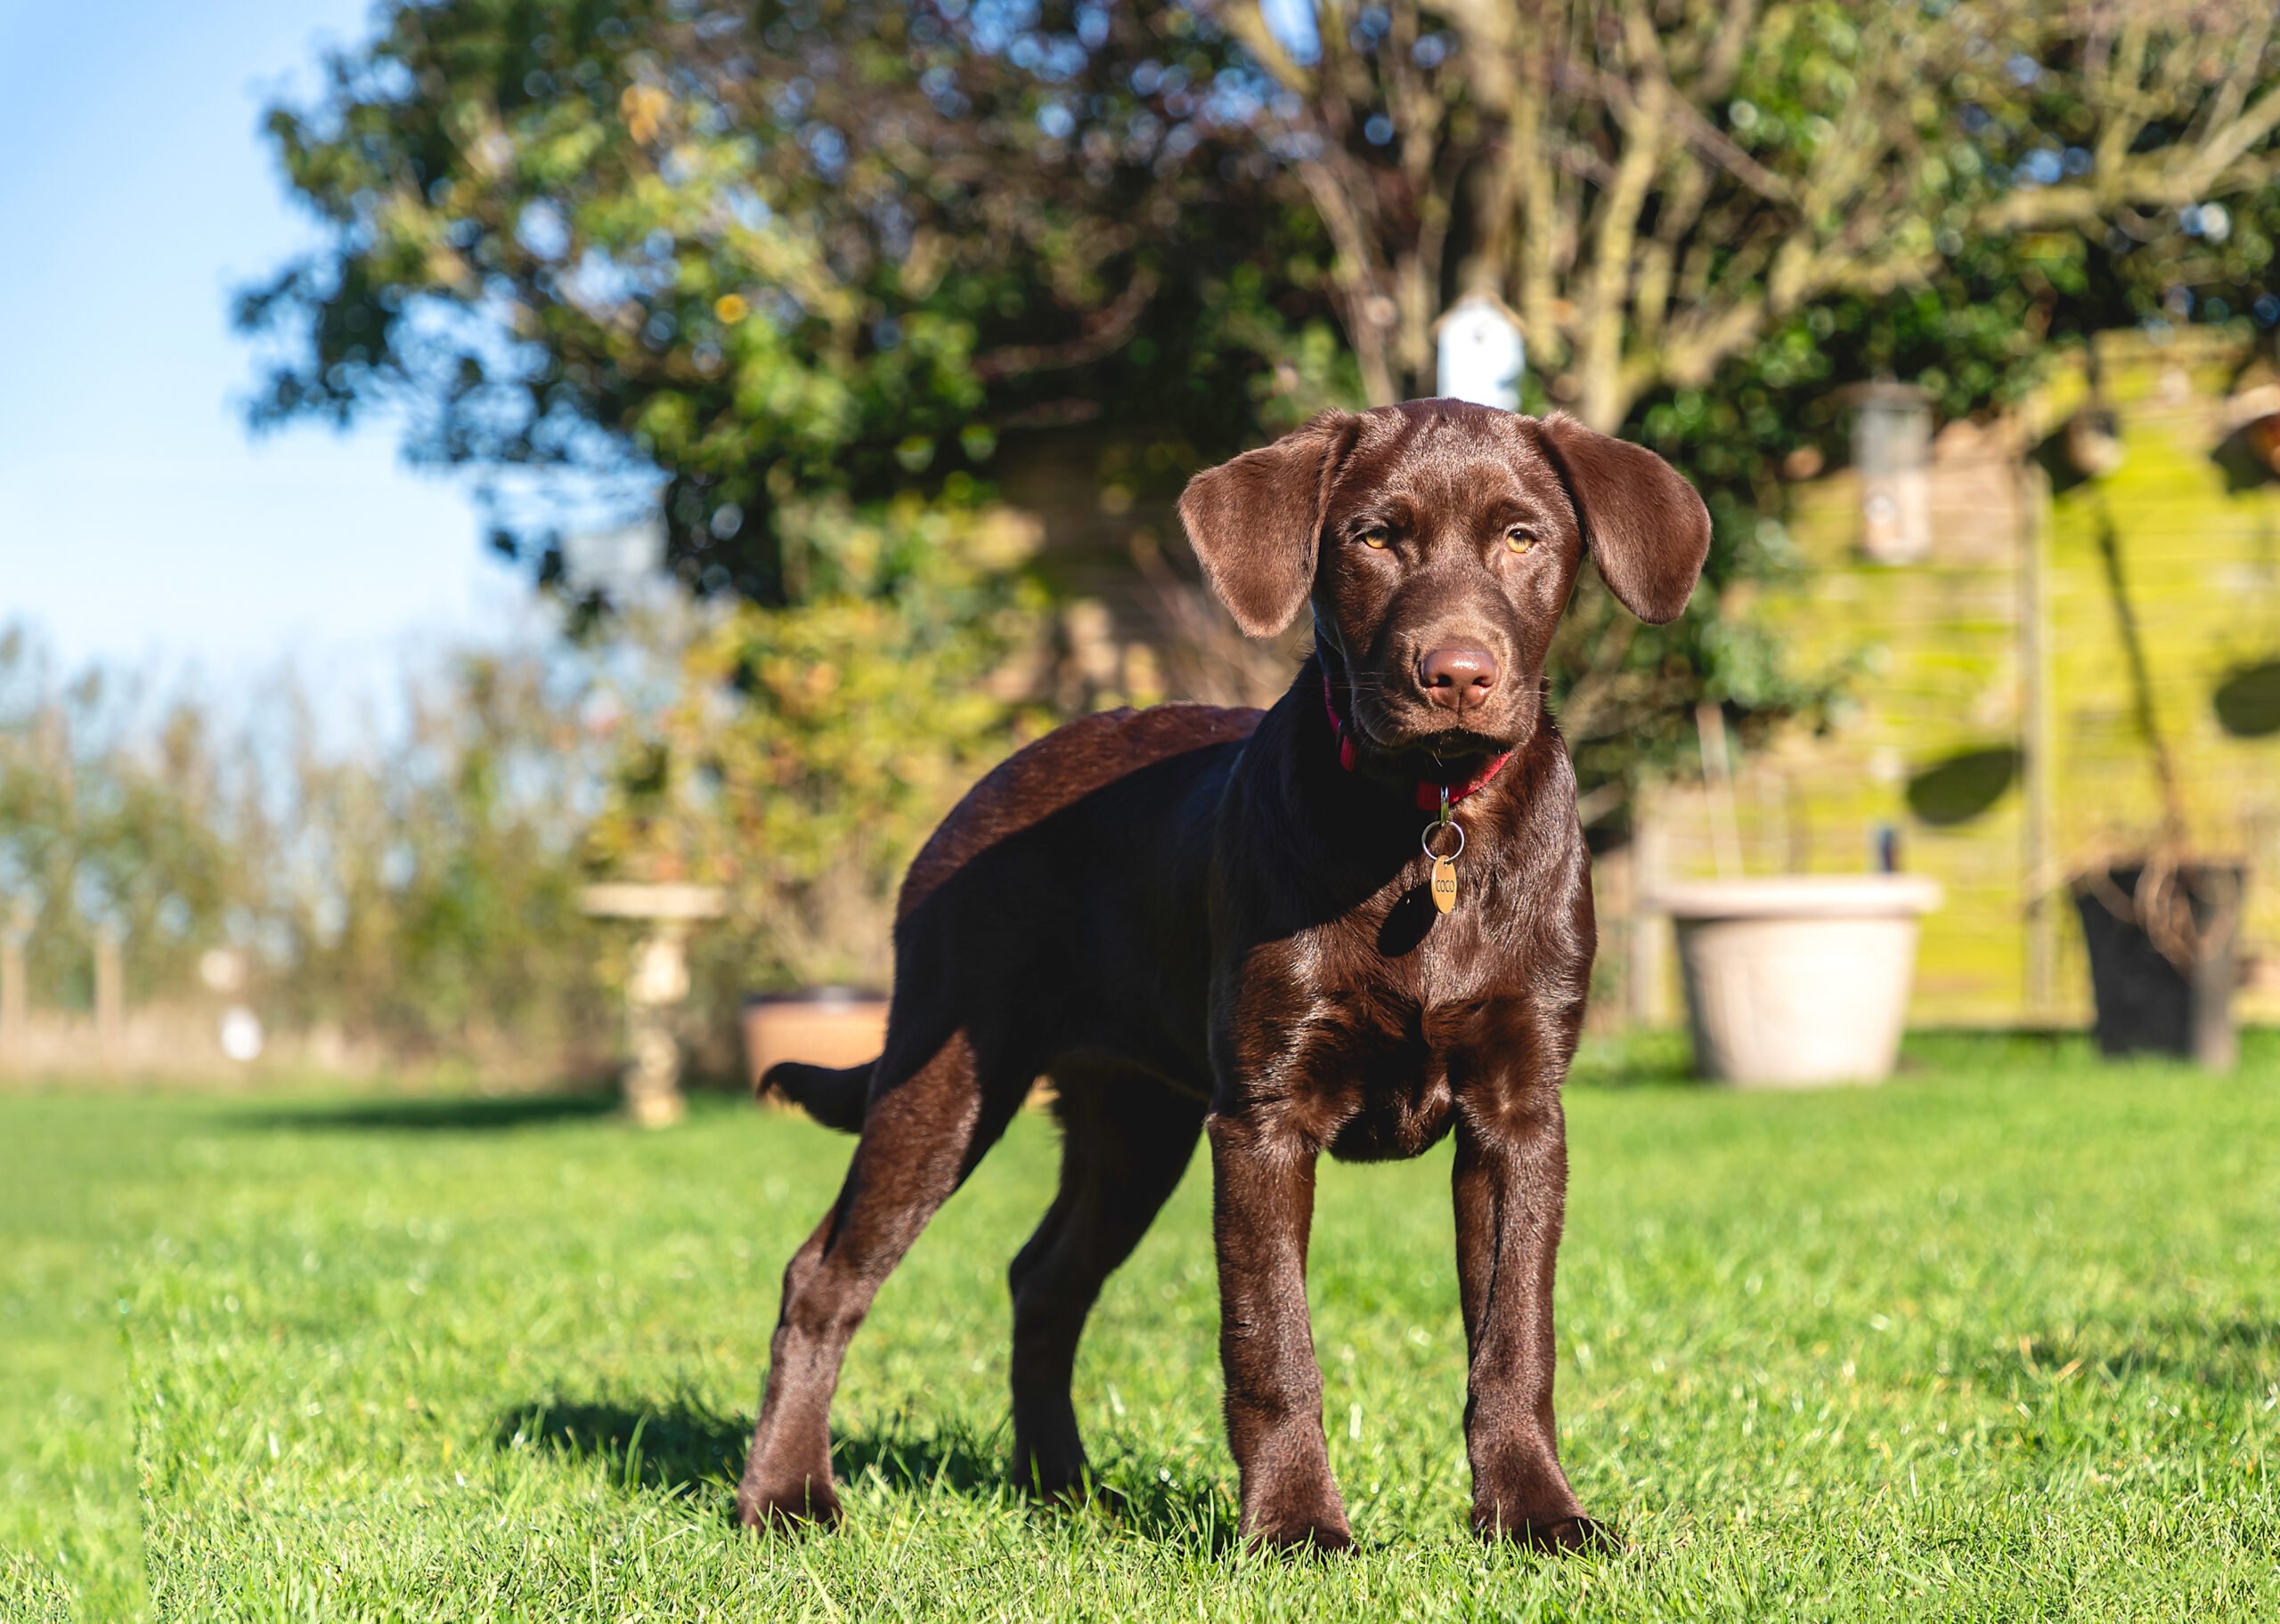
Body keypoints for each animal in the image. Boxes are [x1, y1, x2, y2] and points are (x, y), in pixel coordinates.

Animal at [738, 396, 1705, 1551]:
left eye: (1523, 538)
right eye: (1373, 539)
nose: (1457, 675)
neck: (1427, 819)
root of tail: (982, 790)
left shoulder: (1518, 1114)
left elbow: (1514, 1335)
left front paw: (1535, 1514)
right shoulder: (1261, 1117)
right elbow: (1271, 1339)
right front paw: (1294, 1526)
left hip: (1133, 1122)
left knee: (1043, 1280)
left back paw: (1060, 1487)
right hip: (948, 1078)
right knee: (824, 1276)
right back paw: (786, 1496)